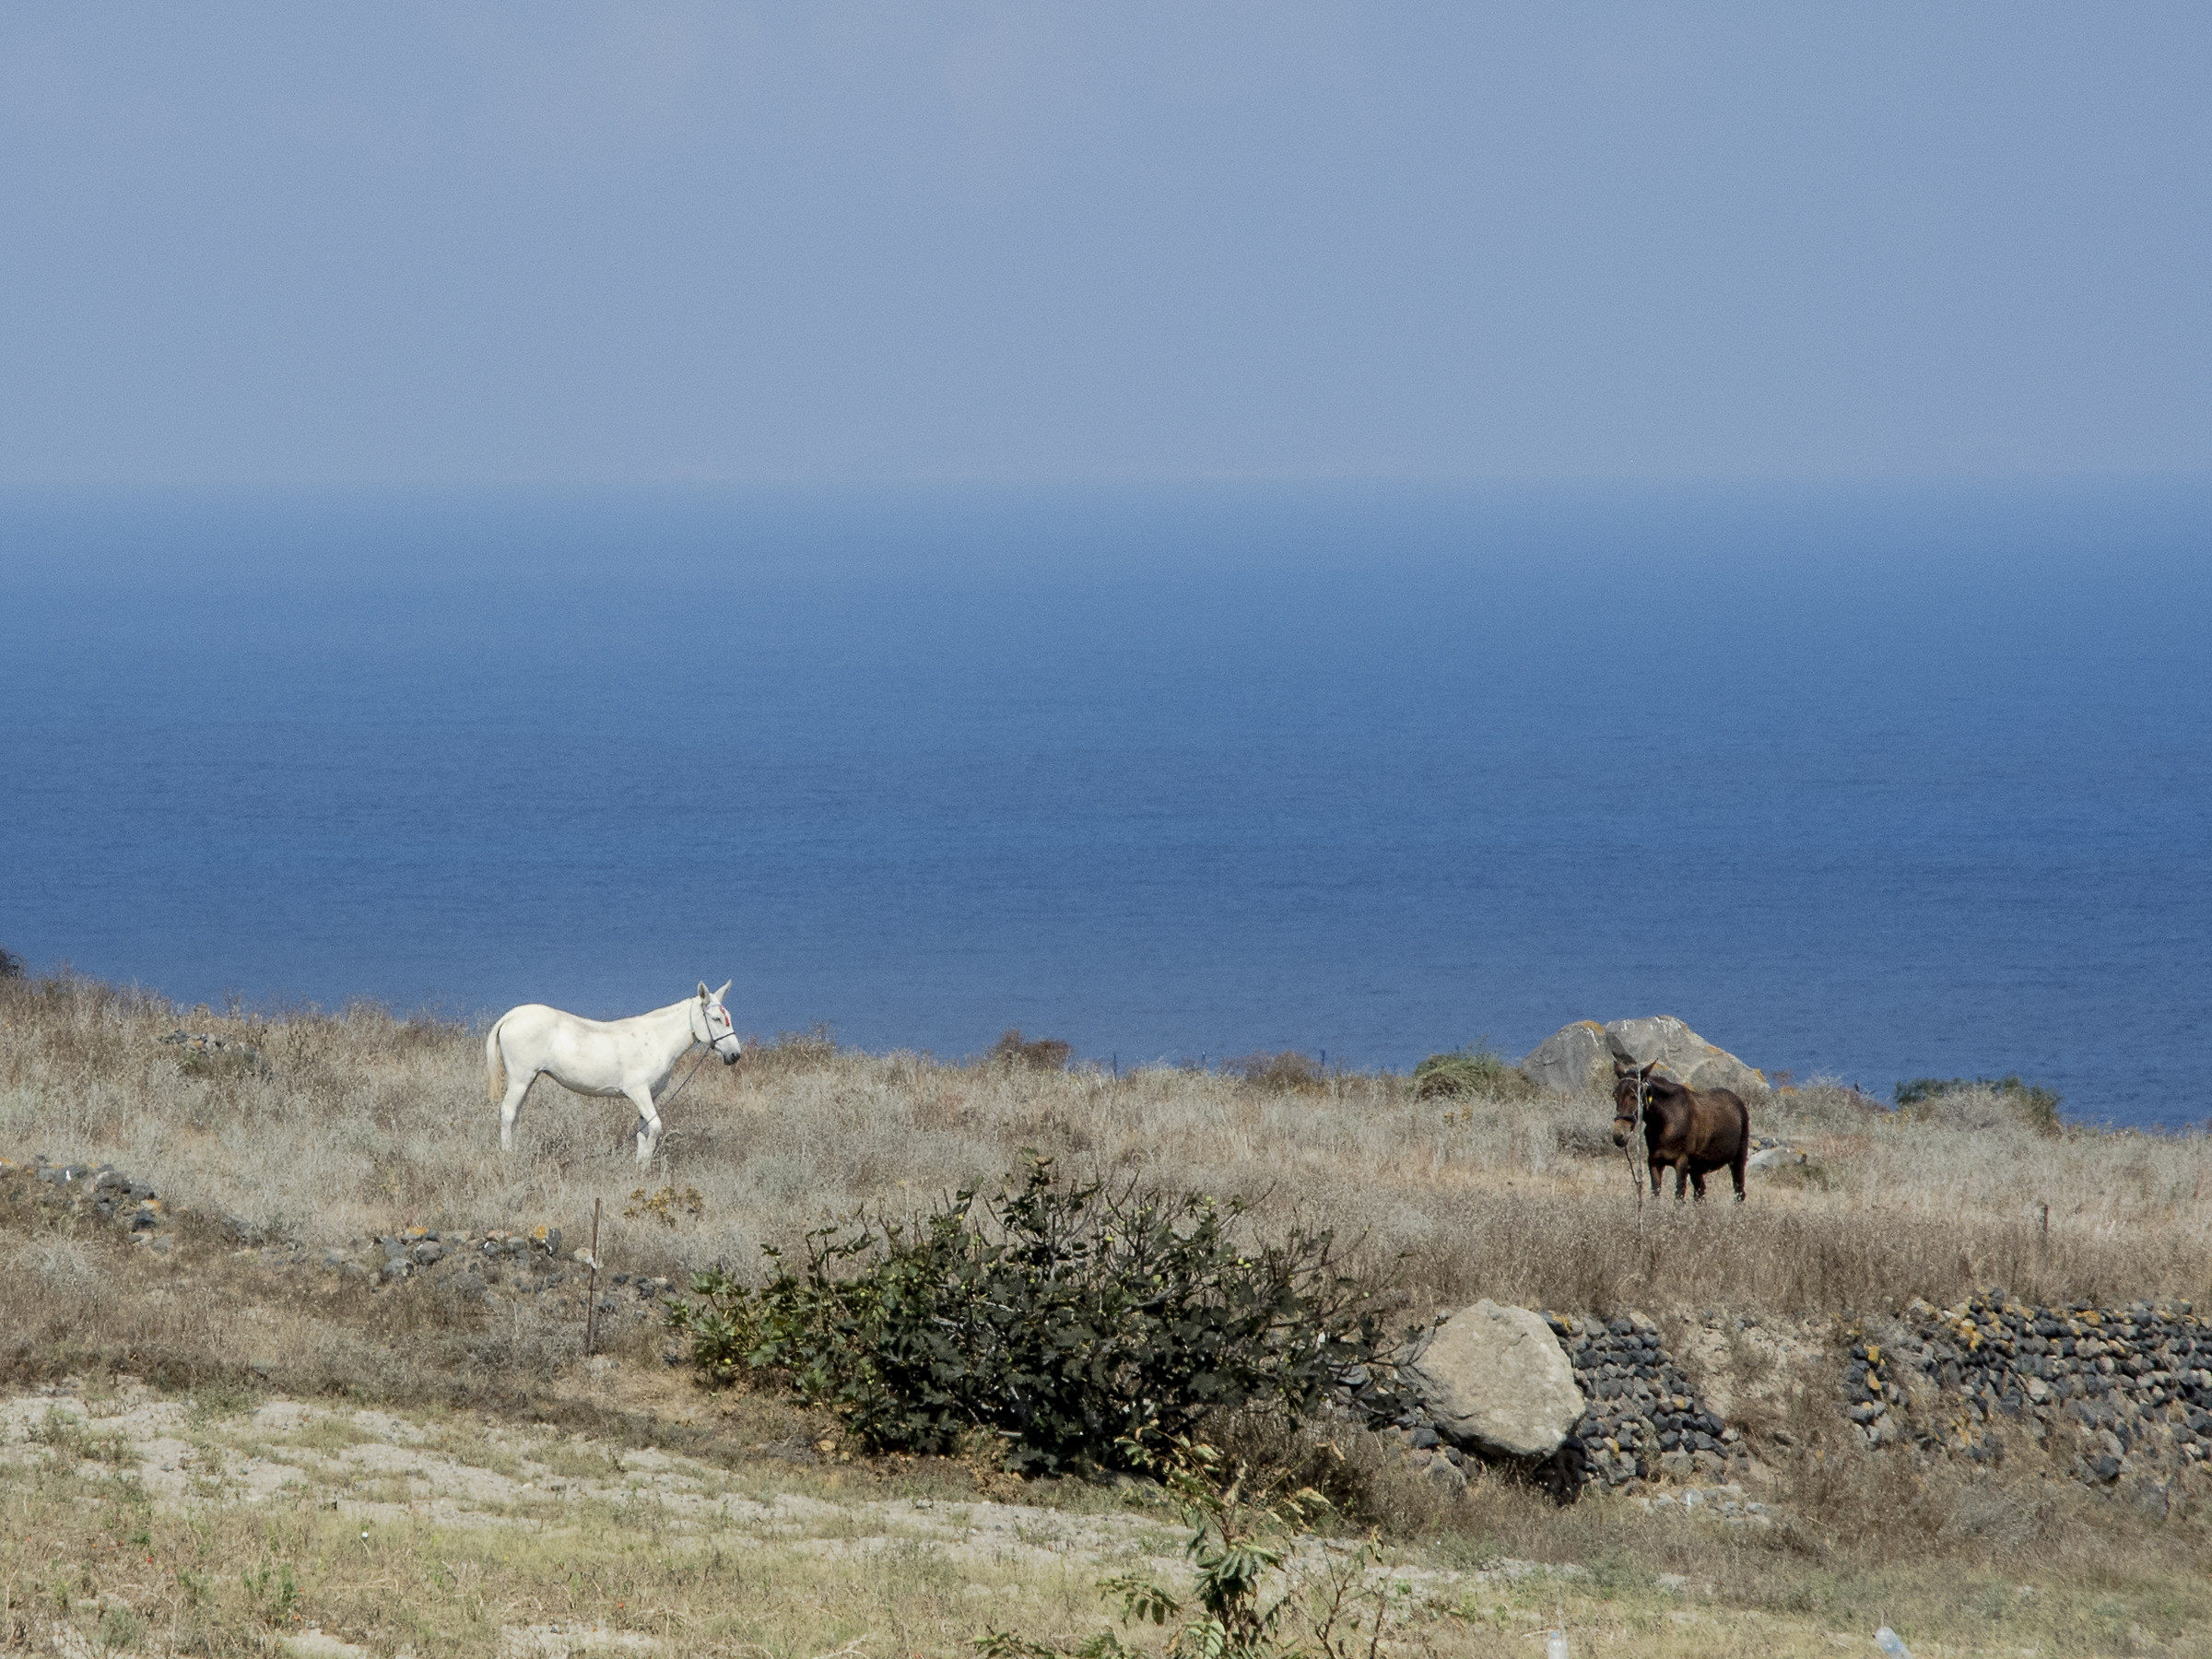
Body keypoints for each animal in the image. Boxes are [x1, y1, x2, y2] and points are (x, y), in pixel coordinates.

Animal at [486, 982, 741, 1167]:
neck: (656, 1039)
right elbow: (656, 1127)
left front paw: (640, 1168)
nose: (735, 1055)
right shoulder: (638, 1091)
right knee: (507, 1112)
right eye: (717, 1019)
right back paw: (508, 1156)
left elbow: (643, 1130)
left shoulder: (651, 1095)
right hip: (520, 1078)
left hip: (529, 1079)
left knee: (515, 1114)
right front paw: (645, 1165)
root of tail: (510, 1016)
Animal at [1612, 1059, 1750, 1202]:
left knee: (1739, 1193)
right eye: (1615, 1095)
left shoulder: (1681, 1162)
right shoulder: (1654, 1161)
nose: (1619, 1136)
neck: (1664, 1121)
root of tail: (1738, 1102)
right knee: (1700, 1193)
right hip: (1696, 1168)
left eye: (1633, 1096)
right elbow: (1655, 1195)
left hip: (1738, 1159)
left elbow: (1679, 1197)